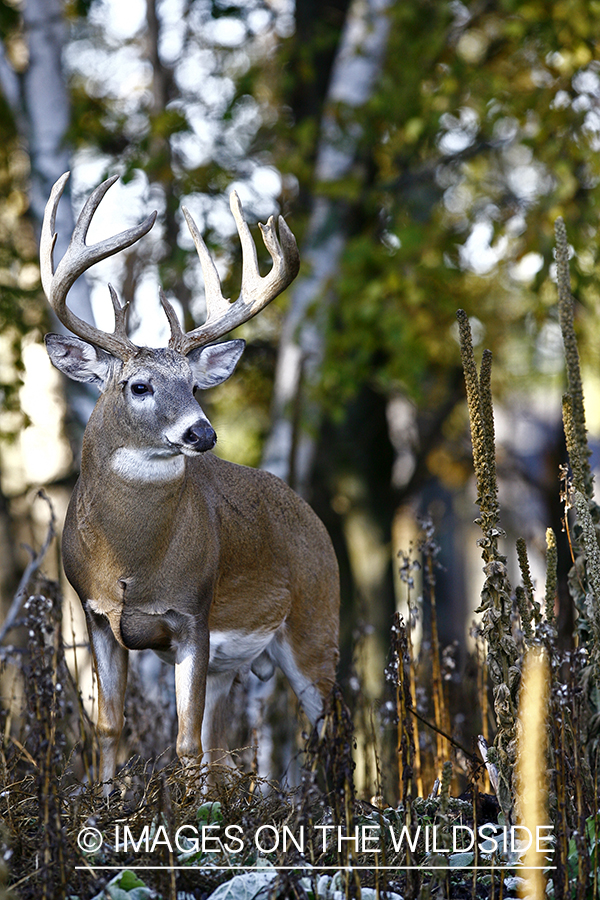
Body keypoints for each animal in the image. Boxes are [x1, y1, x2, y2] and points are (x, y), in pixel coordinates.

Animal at [41, 172, 340, 792]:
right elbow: (110, 727)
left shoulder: (193, 615)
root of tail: (309, 513)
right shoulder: (95, 616)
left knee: (326, 737)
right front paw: (108, 800)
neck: (131, 563)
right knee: (226, 747)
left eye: (195, 385)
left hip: (317, 622)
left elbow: (183, 742)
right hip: (237, 665)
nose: (202, 433)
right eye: (138, 385)